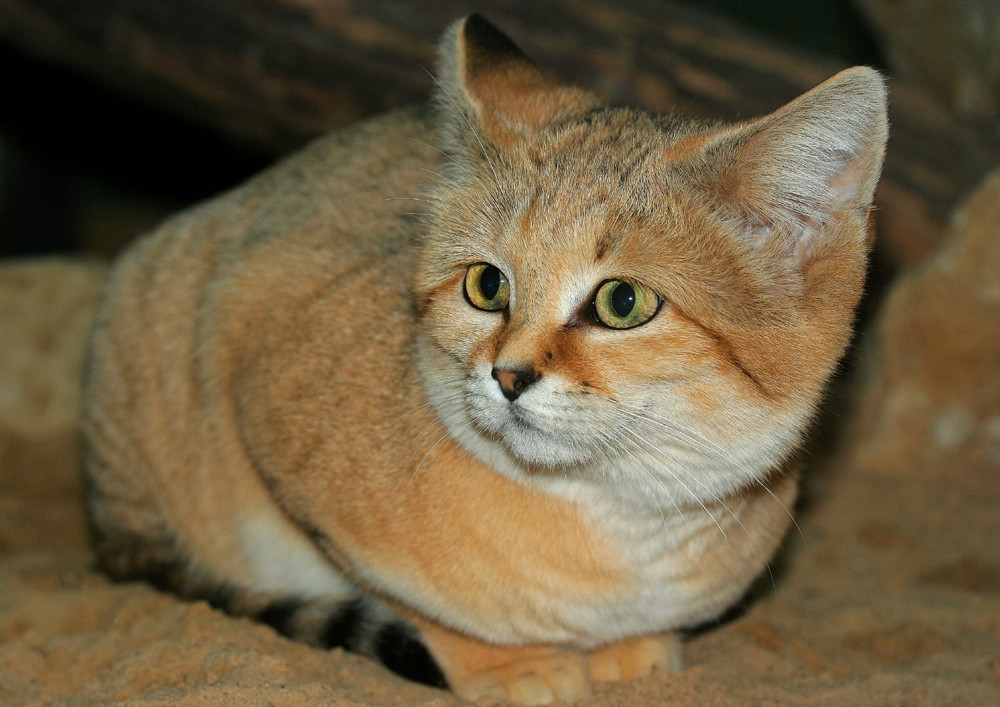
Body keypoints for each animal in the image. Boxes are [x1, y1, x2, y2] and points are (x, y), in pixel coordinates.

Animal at [82, 13, 888, 704]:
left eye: (623, 302)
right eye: (487, 285)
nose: (508, 375)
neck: (617, 518)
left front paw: (632, 647)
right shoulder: (259, 354)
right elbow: (410, 601)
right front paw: (508, 663)